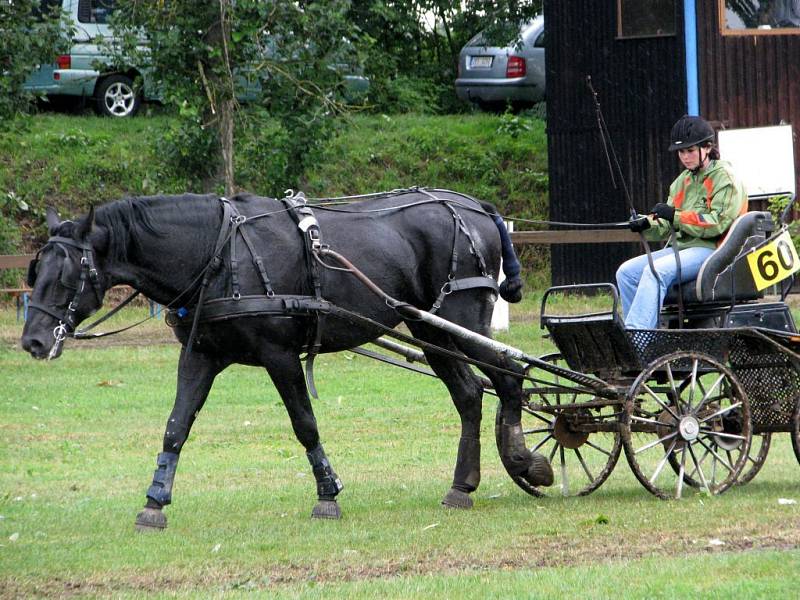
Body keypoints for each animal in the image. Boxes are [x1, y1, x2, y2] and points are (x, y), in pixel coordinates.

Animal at [21, 190, 552, 528]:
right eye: (35, 270)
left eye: (67, 274)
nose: (32, 342)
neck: (219, 254)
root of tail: (475, 207)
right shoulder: (201, 356)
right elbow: (176, 426)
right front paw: (155, 501)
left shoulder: (280, 356)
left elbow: (305, 423)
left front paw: (328, 494)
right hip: (429, 329)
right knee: (469, 393)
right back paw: (463, 486)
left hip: (462, 319)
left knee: (510, 376)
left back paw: (524, 462)